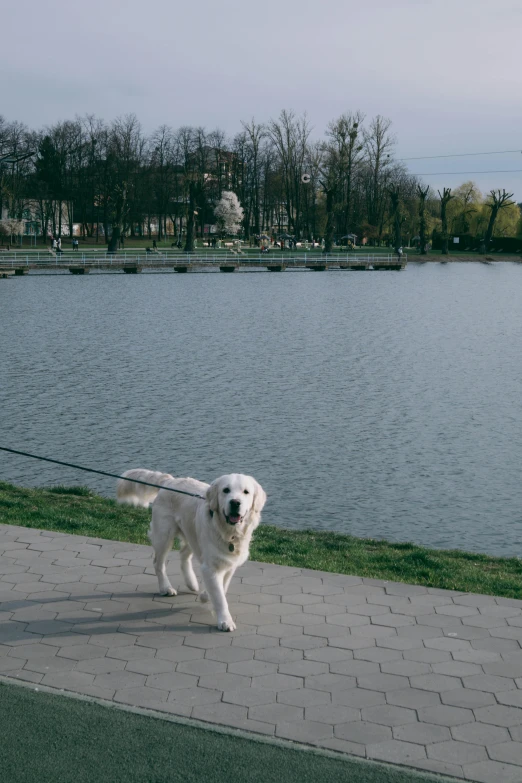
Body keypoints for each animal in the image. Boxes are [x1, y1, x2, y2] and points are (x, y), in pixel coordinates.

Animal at [117, 472, 264, 632]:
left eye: (246, 492)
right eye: (226, 490)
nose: (235, 503)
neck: (229, 532)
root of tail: (169, 481)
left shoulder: (229, 564)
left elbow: (222, 588)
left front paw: (206, 595)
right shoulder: (210, 566)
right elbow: (219, 597)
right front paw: (225, 621)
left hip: (191, 534)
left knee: (183, 554)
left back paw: (191, 583)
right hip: (164, 534)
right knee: (158, 563)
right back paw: (166, 588)